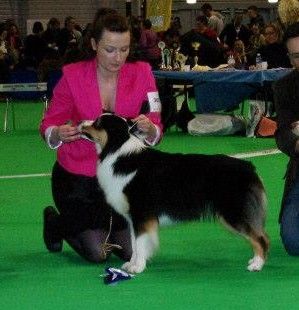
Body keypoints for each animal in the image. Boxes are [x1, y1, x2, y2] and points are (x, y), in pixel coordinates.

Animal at [81, 114, 270, 274]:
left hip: (234, 212)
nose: (81, 123)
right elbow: (134, 243)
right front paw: (131, 264)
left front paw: (138, 268)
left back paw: (256, 265)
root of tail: (249, 167)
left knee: (261, 238)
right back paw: (254, 260)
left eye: (98, 123)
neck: (117, 151)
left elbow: (140, 243)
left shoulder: (142, 213)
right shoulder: (133, 218)